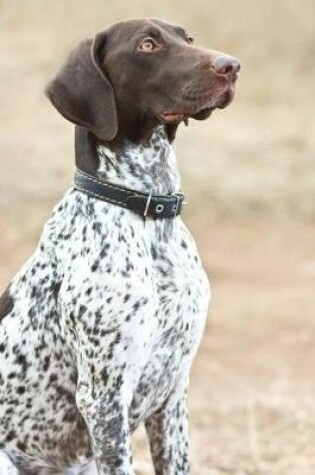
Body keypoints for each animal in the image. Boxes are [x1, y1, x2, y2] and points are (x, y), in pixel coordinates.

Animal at [0, 17, 239, 475]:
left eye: (188, 38)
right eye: (147, 45)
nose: (232, 66)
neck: (149, 215)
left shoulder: (173, 392)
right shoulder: (104, 398)